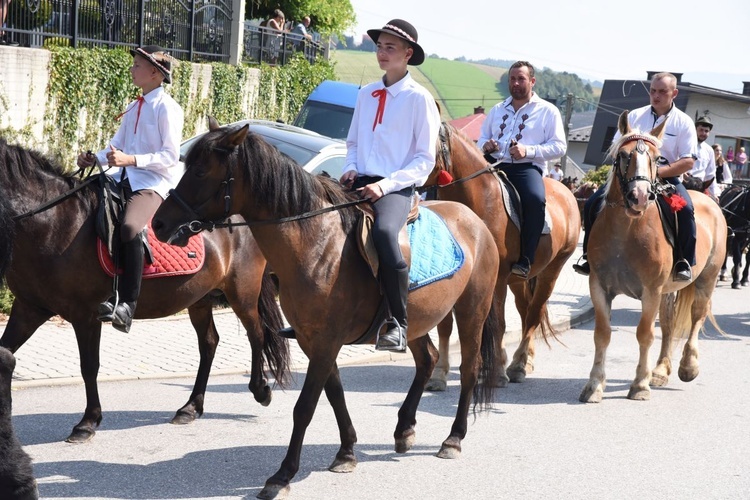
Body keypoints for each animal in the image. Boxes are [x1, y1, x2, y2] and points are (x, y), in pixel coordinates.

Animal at [151, 119, 506, 498]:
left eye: (201, 171)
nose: (159, 224)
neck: (316, 245)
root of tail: (474, 221)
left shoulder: (325, 342)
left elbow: (305, 406)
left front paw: (282, 475)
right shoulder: (314, 341)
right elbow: (335, 395)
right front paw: (346, 452)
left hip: (472, 312)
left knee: (470, 369)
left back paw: (453, 439)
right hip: (416, 320)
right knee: (427, 359)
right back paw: (404, 429)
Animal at [426, 123, 580, 388]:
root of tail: (566, 192)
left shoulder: (497, 280)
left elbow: (497, 324)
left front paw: (497, 372)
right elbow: (446, 326)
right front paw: (439, 374)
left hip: (551, 271)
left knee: (533, 314)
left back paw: (517, 366)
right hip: (518, 280)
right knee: (525, 310)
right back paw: (525, 360)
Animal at [580, 112, 728, 402]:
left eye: (658, 158)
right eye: (623, 154)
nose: (639, 196)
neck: (626, 230)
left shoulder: (650, 290)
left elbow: (645, 334)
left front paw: (639, 385)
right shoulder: (599, 286)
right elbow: (602, 334)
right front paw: (594, 385)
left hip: (706, 279)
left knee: (697, 315)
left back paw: (688, 367)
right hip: (668, 291)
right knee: (669, 326)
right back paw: (659, 371)